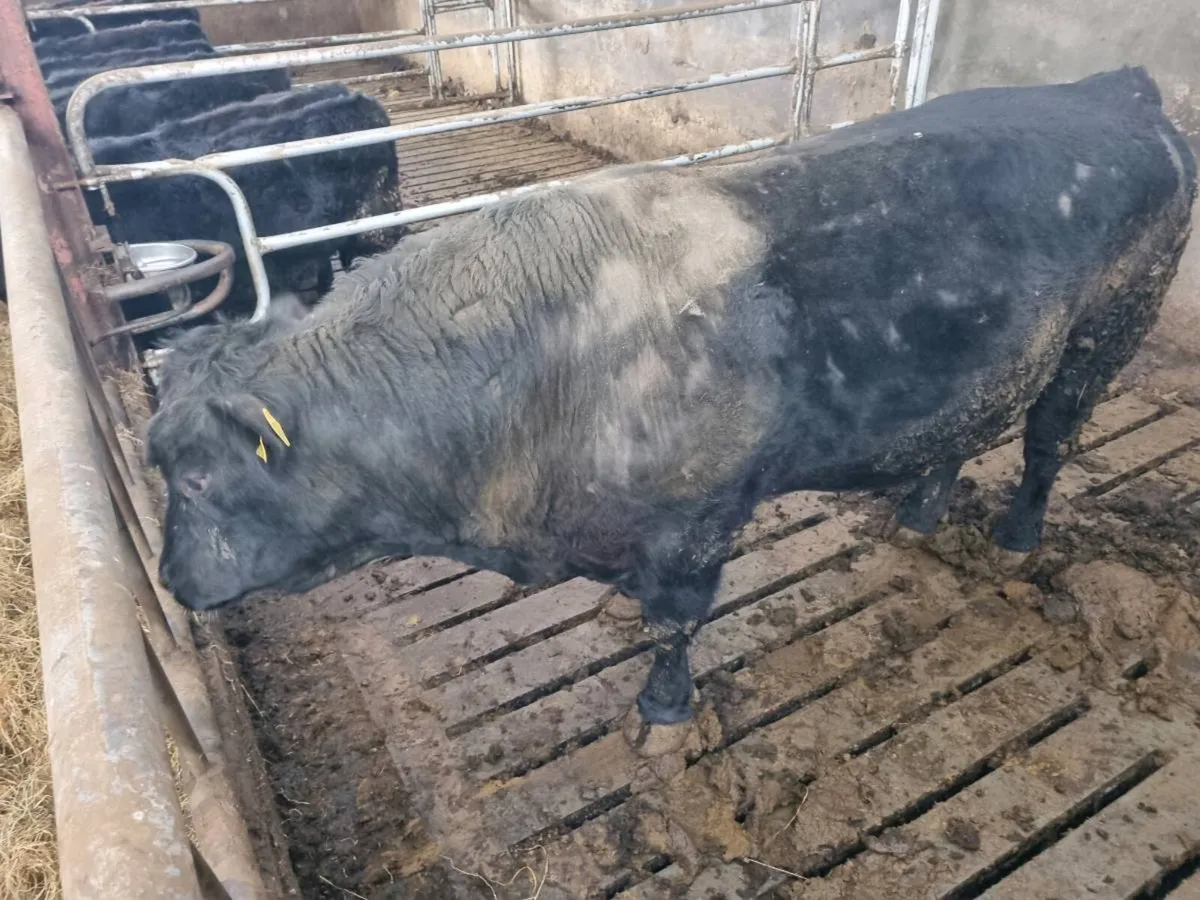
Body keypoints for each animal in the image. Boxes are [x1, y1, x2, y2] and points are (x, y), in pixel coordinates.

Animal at [145, 68, 1196, 736]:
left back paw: (1017, 536)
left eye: (195, 480)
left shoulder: (698, 521)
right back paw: (921, 509)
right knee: (967, 428)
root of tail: (1115, 88)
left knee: (1048, 443)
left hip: (1110, 331)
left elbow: (675, 624)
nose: (171, 582)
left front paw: (662, 712)